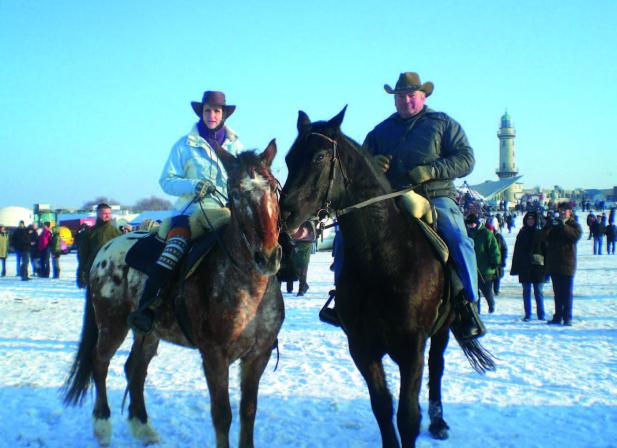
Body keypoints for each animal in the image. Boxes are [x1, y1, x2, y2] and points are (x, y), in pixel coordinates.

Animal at [62, 141, 284, 448]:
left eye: (274, 187)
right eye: (236, 193)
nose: (267, 256)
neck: (250, 288)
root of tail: (104, 250)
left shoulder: (257, 356)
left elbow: (248, 412)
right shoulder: (214, 356)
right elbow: (222, 415)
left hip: (147, 332)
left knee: (134, 369)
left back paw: (143, 427)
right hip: (111, 325)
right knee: (100, 362)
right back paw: (102, 425)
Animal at [282, 109, 494, 448]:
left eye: (319, 157)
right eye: (289, 159)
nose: (285, 214)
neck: (383, 259)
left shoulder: (411, 350)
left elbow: (407, 417)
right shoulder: (362, 347)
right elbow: (382, 407)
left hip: (442, 330)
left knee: (437, 368)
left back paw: (438, 421)